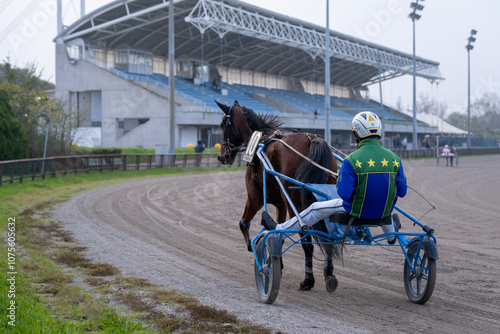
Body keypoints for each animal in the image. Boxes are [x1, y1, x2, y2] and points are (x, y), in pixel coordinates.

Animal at [216, 99, 340, 290]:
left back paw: (308, 279)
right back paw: (328, 273)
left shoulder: (254, 198)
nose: (222, 156)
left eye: (223, 124)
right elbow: (278, 232)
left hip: (295, 202)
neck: (259, 143)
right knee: (327, 236)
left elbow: (243, 223)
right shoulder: (281, 205)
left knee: (306, 239)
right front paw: (276, 262)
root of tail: (312, 139)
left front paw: (255, 251)